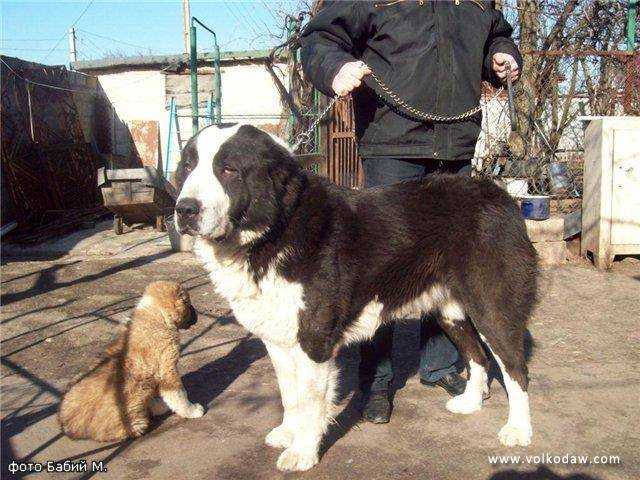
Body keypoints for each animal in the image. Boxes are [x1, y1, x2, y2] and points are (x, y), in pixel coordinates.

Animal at [172, 124, 536, 472]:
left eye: (229, 169)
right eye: (188, 167)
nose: (184, 209)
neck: (275, 230)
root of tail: (499, 195)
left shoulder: (314, 340)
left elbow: (309, 401)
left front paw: (303, 452)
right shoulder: (278, 337)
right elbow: (290, 395)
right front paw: (288, 433)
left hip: (492, 308)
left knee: (515, 369)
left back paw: (518, 429)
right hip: (451, 312)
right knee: (478, 356)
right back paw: (471, 403)